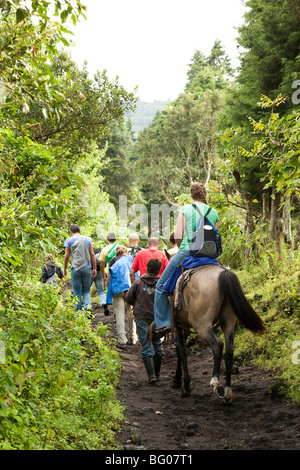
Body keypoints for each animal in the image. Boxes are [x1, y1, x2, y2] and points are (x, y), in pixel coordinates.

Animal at [168, 264, 266, 404]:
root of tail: (223, 273)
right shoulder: (184, 327)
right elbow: (180, 351)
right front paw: (178, 380)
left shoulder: (179, 326)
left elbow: (181, 352)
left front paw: (185, 386)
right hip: (229, 322)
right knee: (229, 351)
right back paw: (228, 392)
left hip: (202, 325)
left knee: (218, 345)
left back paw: (215, 382)